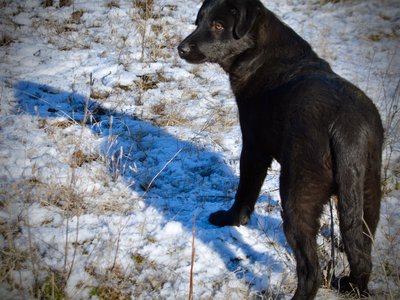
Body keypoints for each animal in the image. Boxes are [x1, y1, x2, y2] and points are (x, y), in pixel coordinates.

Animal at [178, 1, 384, 298]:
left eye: (218, 25)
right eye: (199, 21)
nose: (181, 48)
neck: (261, 56)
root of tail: (346, 128)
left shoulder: (254, 148)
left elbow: (245, 193)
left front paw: (229, 219)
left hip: (298, 196)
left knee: (310, 271)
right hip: (368, 194)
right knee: (363, 255)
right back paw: (353, 287)